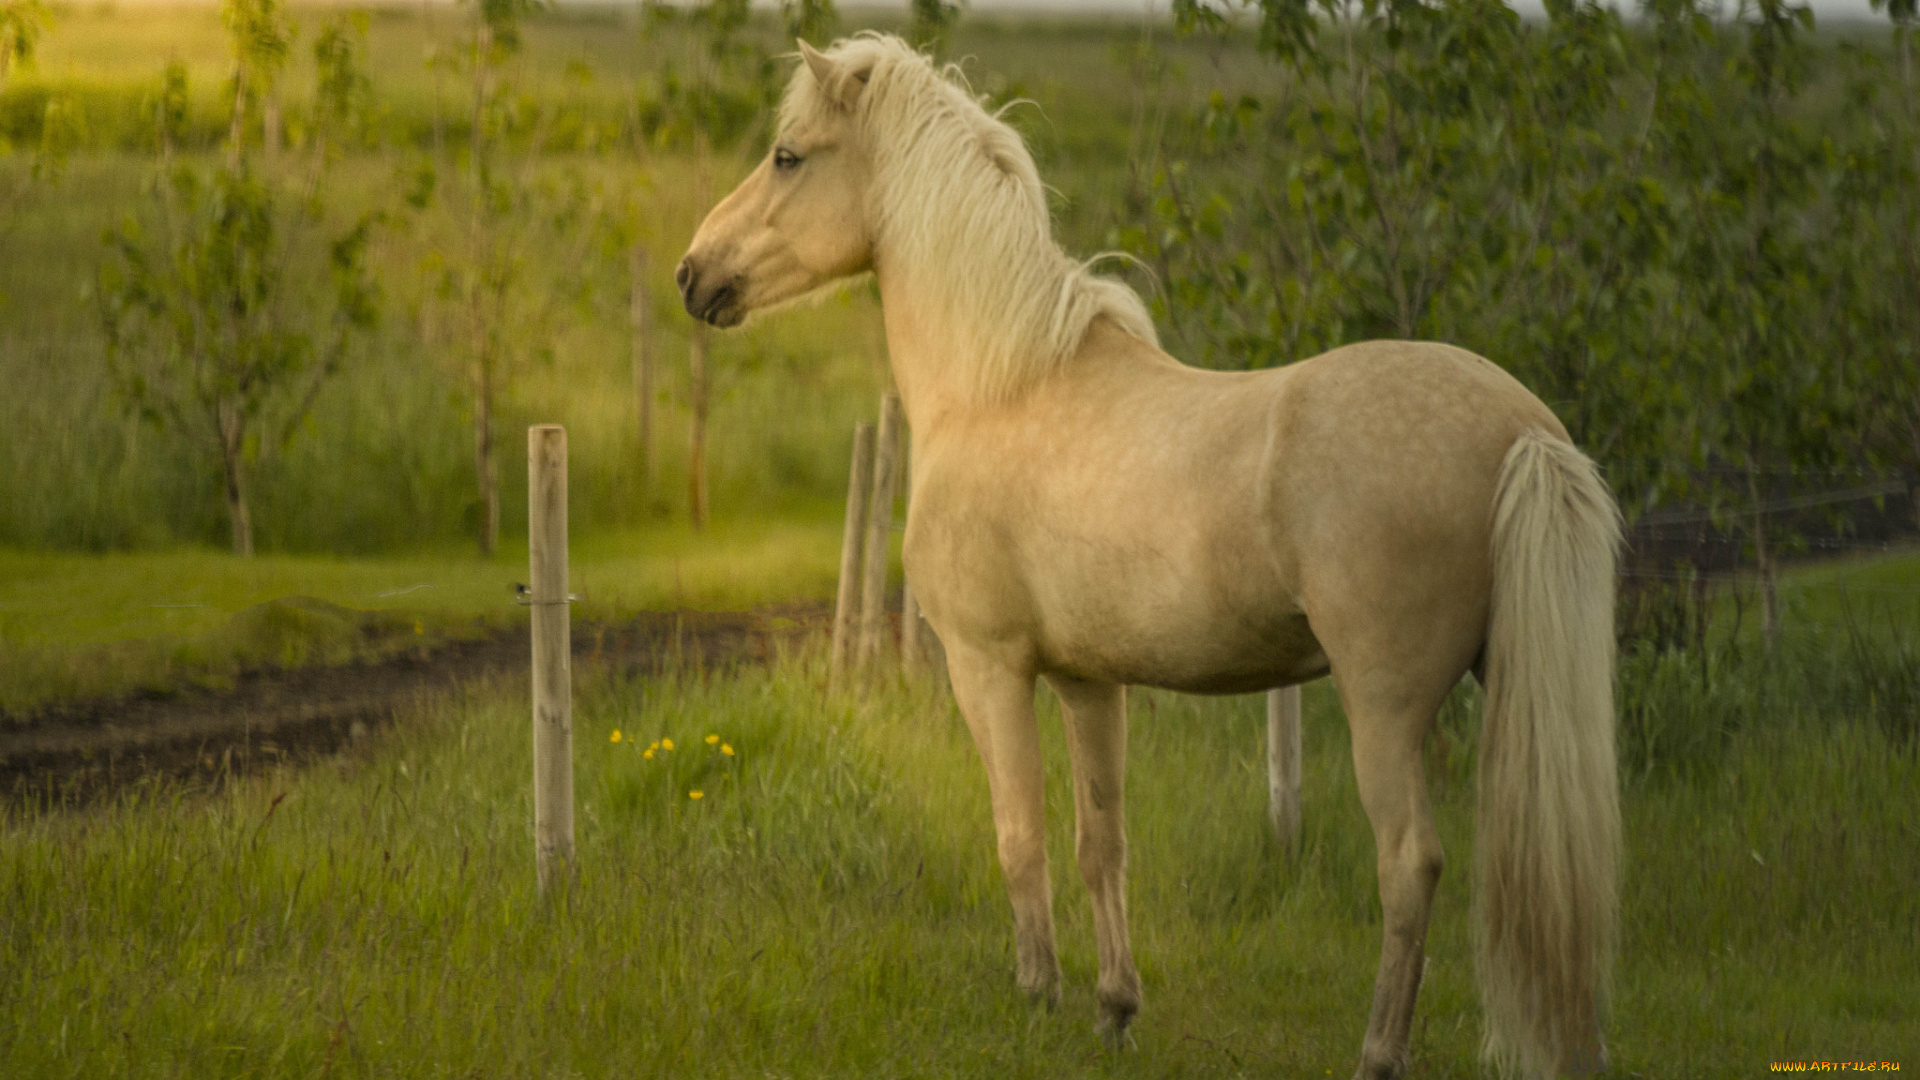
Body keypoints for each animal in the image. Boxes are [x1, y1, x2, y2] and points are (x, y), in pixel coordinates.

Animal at [675, 33, 1620, 1076]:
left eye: (788, 156)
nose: (692, 272)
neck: (1001, 383)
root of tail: (1523, 432)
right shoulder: (1090, 682)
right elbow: (1102, 841)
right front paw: (1114, 1007)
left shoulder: (989, 669)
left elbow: (1020, 834)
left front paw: (1037, 998)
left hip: (1383, 706)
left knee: (1409, 863)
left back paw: (1377, 1053)